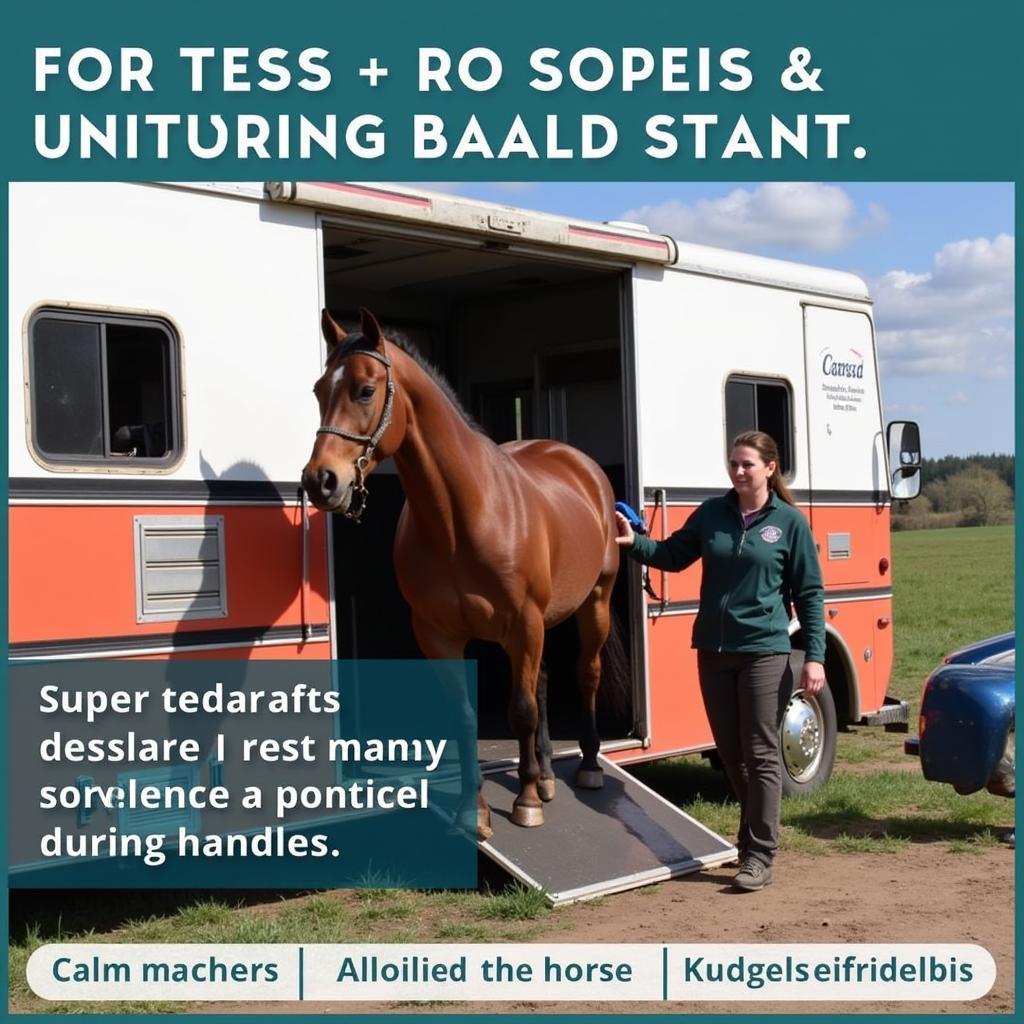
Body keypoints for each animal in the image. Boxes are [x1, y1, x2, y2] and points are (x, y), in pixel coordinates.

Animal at [301, 307, 622, 835]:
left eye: (365, 390)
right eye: (318, 390)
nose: (320, 481)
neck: (462, 516)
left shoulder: (522, 623)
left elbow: (521, 710)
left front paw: (525, 803)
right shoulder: (439, 633)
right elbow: (466, 716)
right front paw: (474, 810)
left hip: (592, 604)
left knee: (585, 674)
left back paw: (588, 768)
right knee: (544, 681)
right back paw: (547, 775)